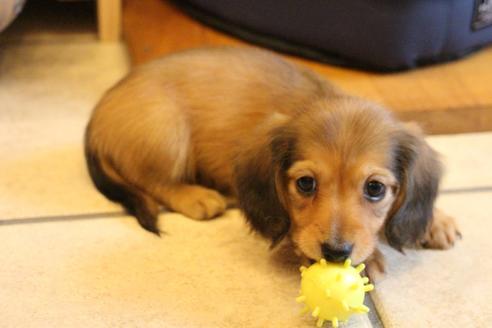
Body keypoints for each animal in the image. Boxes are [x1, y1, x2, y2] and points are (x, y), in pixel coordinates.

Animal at [85, 46, 462, 276]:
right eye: (305, 183)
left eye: (375, 189)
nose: (335, 253)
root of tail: (99, 112)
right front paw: (369, 261)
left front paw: (435, 220)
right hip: (167, 127)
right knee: (152, 180)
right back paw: (195, 196)